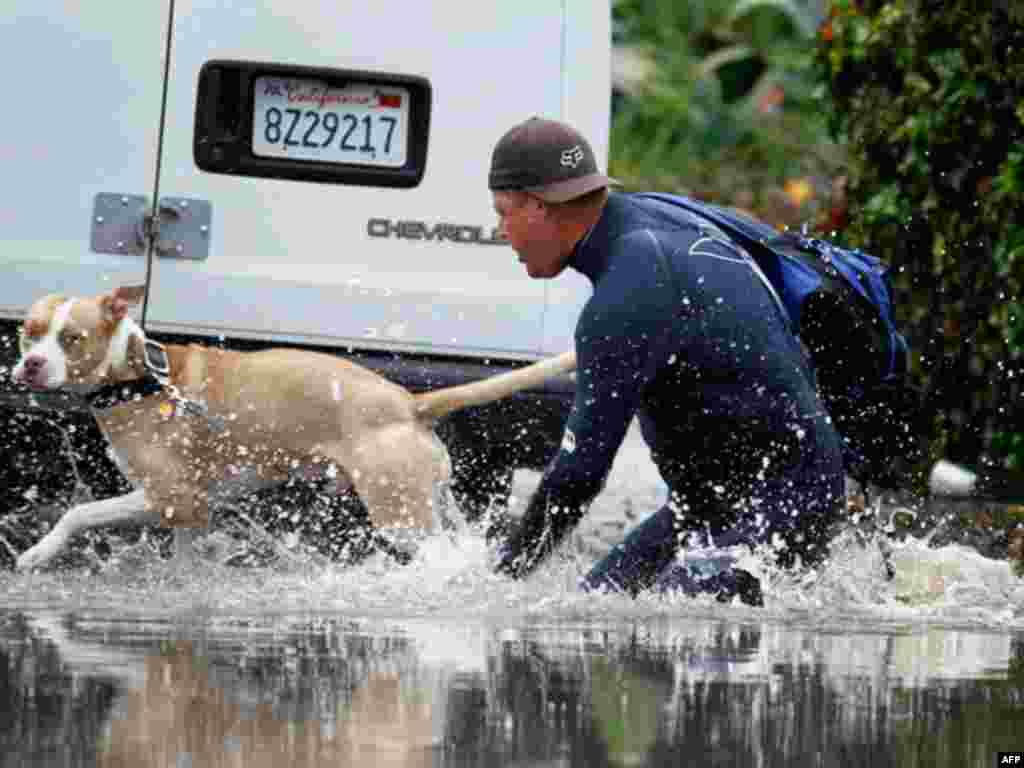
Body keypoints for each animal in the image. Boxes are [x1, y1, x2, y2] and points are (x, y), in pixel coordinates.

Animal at [9, 286, 577, 573]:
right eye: (28, 333)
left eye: (73, 338)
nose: (31, 365)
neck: (138, 376)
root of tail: (410, 403)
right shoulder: (187, 514)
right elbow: (184, 563)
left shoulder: (167, 496)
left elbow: (78, 513)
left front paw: (37, 553)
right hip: (434, 501)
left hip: (400, 514)